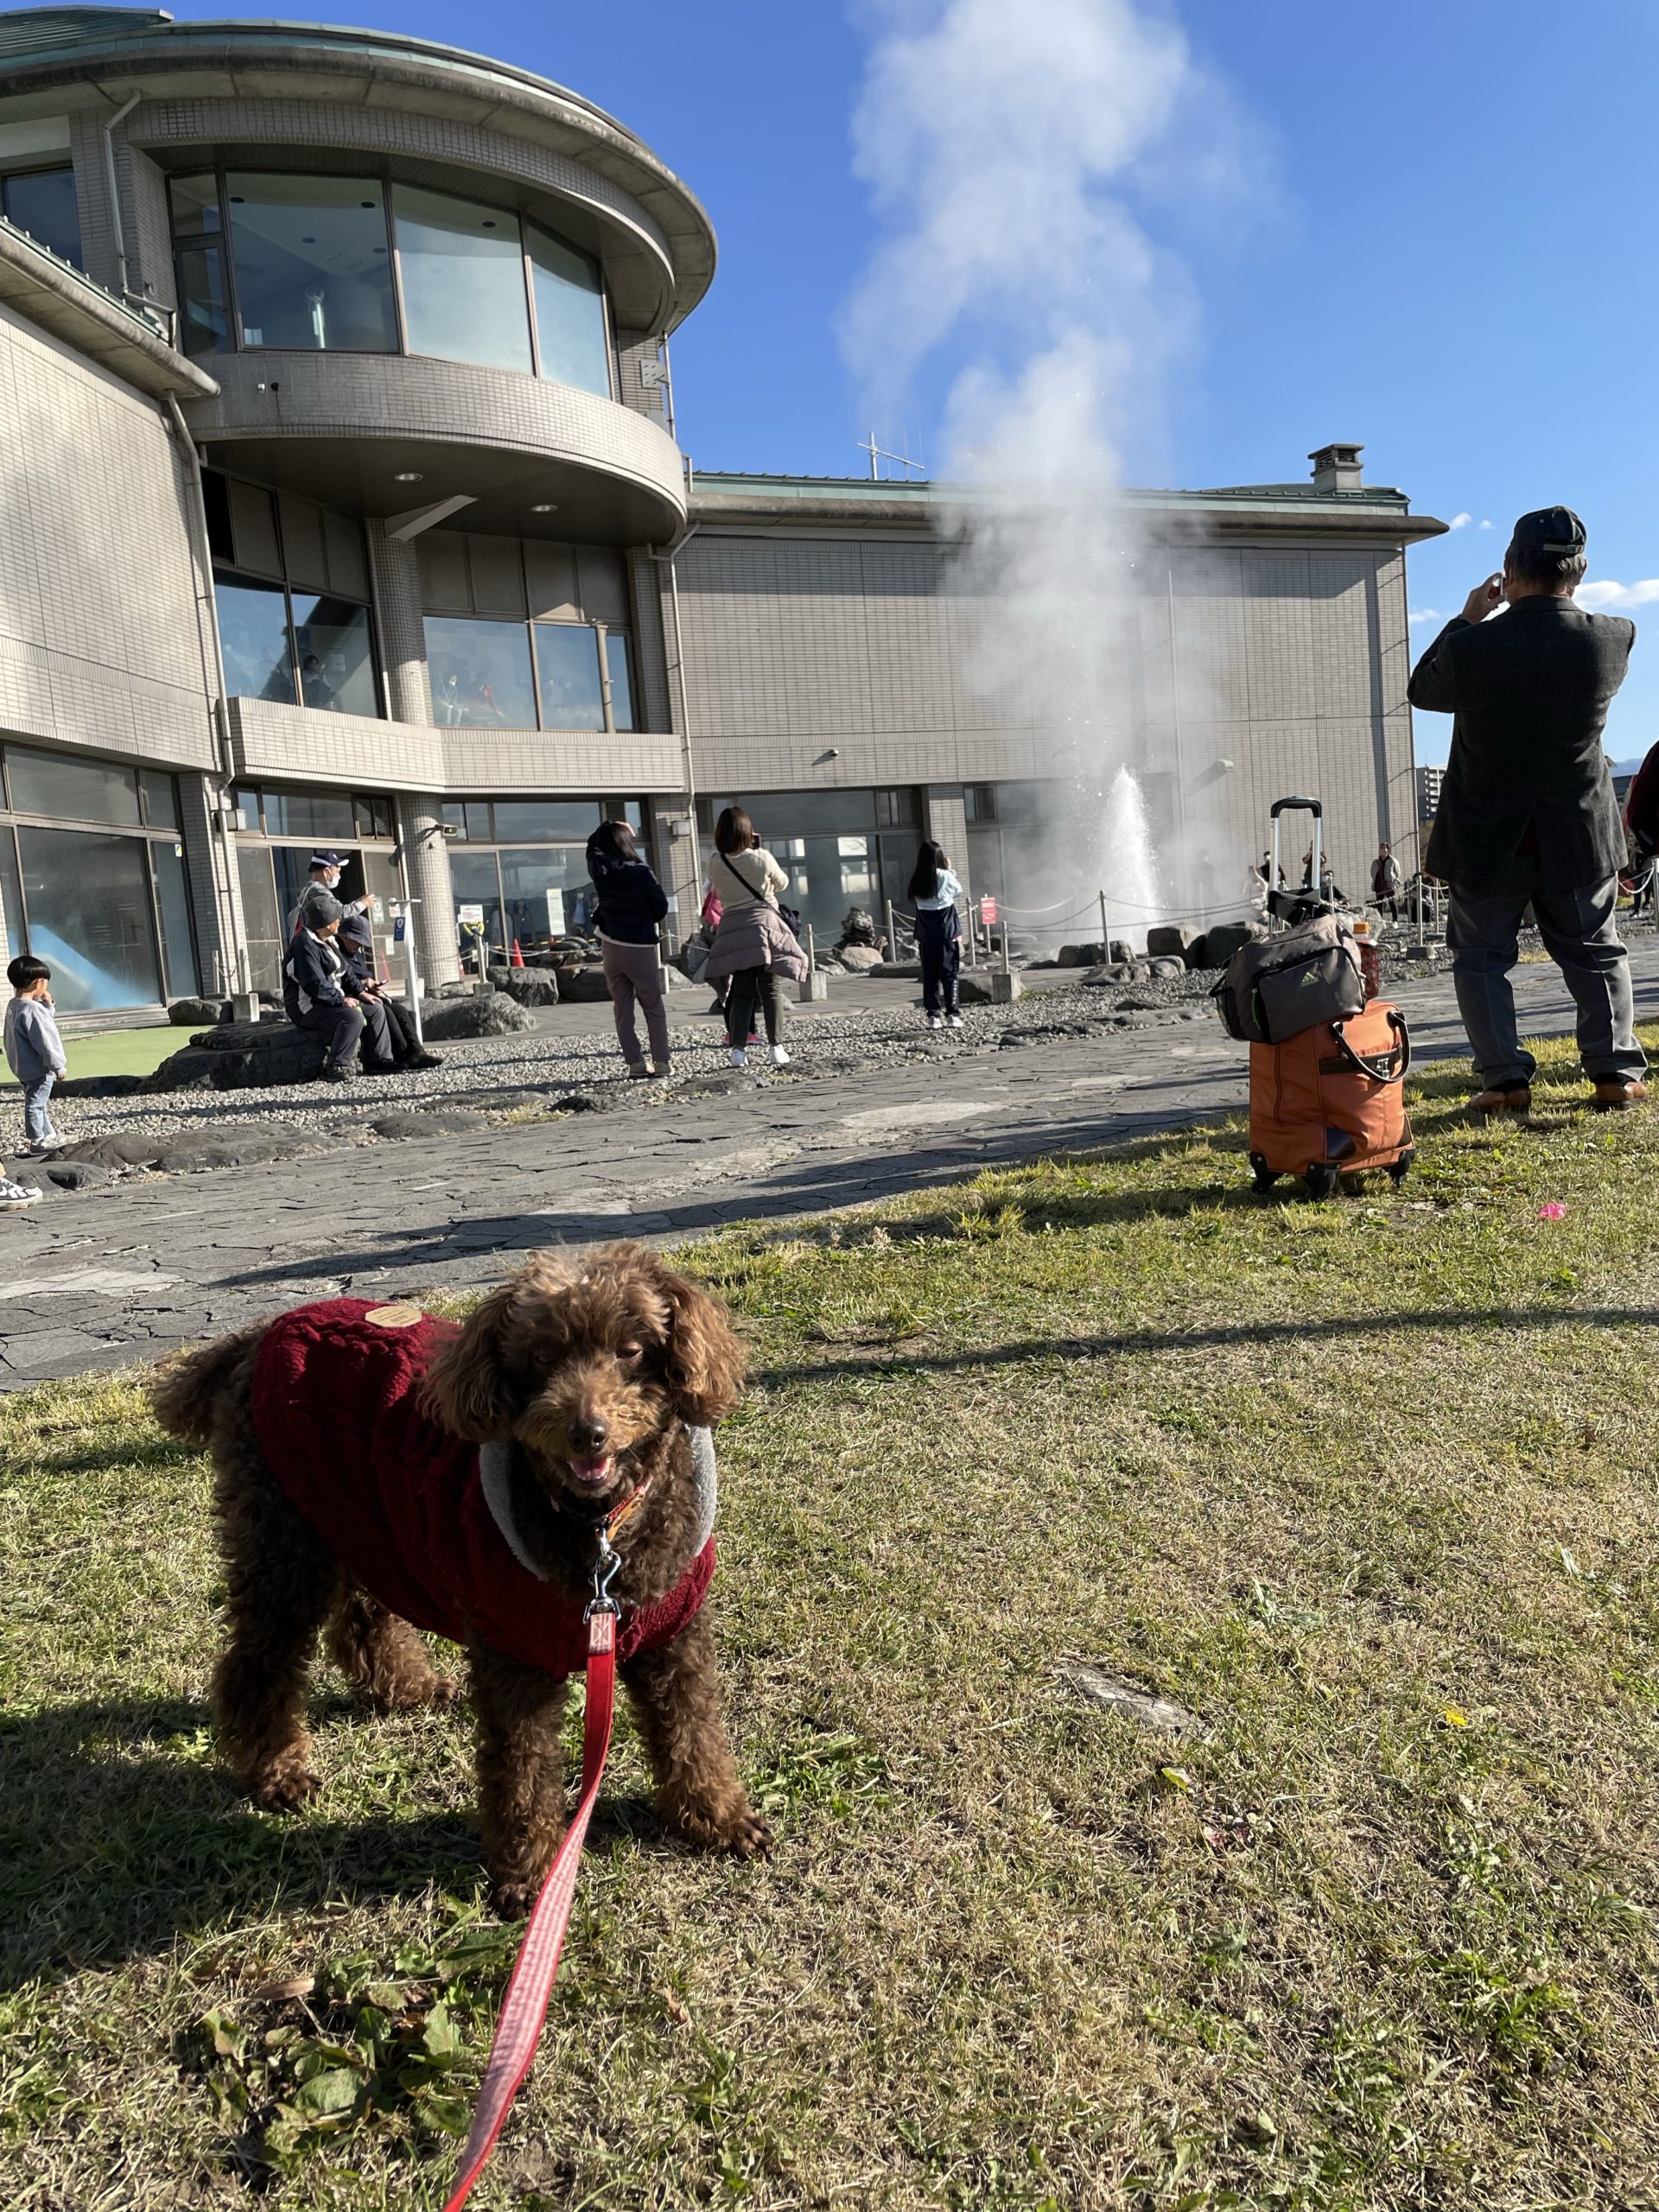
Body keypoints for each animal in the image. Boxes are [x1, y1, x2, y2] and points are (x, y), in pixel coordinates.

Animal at [151, 1242, 771, 1914]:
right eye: (541, 1358)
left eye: (632, 1350)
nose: (587, 1432)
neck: (602, 1526)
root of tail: (256, 1335)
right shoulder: (512, 1655)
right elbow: (521, 1775)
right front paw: (530, 1877)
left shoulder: (671, 1635)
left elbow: (692, 1733)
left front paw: (716, 1820)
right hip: (283, 1533)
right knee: (260, 1663)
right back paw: (276, 1773)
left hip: (366, 1515)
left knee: (363, 1617)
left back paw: (406, 1689)